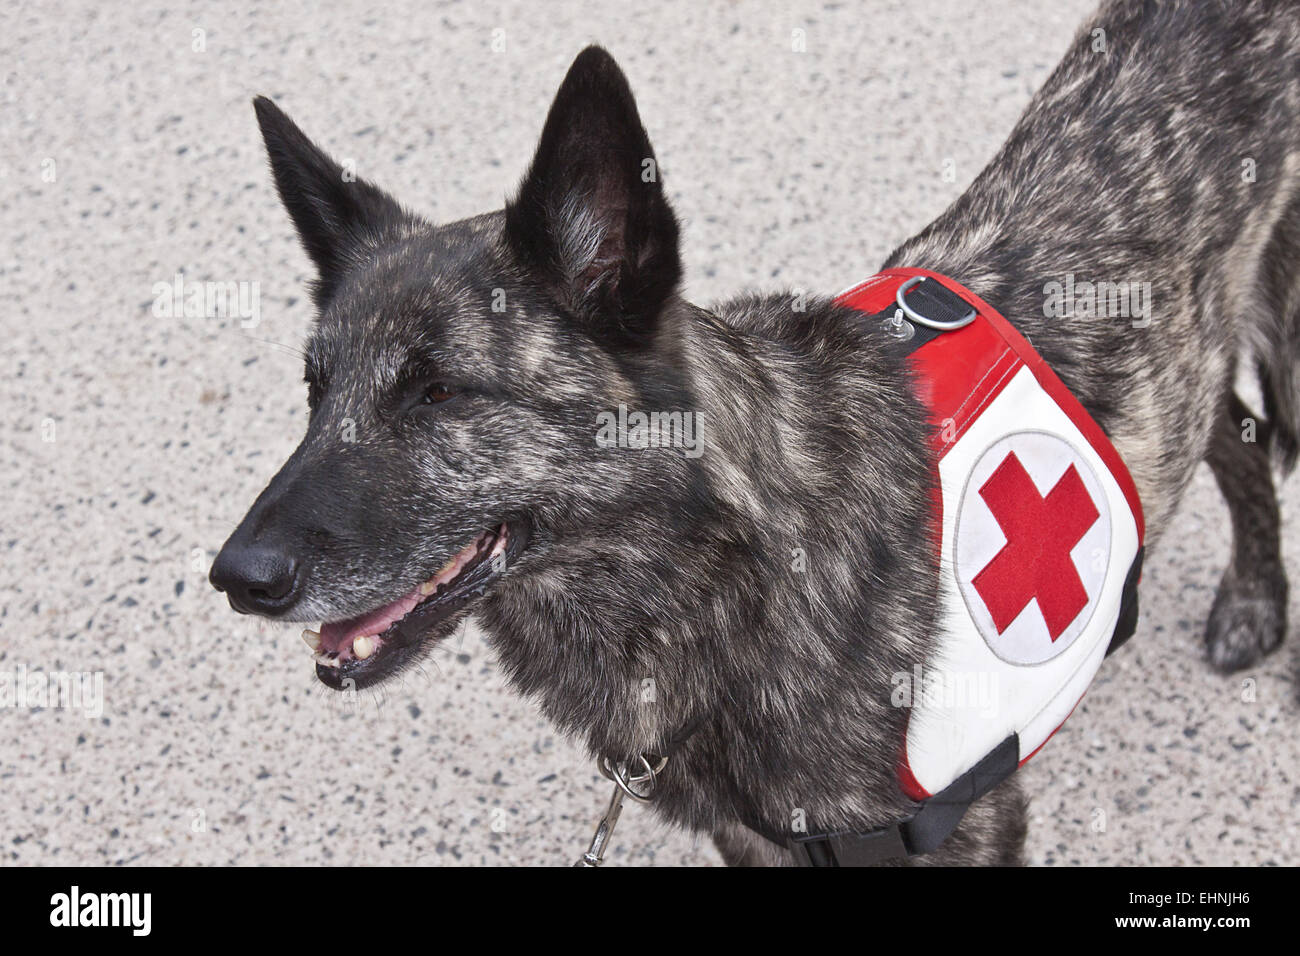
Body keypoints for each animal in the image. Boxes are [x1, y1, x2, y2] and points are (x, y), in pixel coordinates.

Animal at [210, 1, 1300, 868]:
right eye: (314, 391)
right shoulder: (756, 839)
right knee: (1231, 432)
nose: (235, 577)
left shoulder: (974, 825)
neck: (735, 580)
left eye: (436, 390)